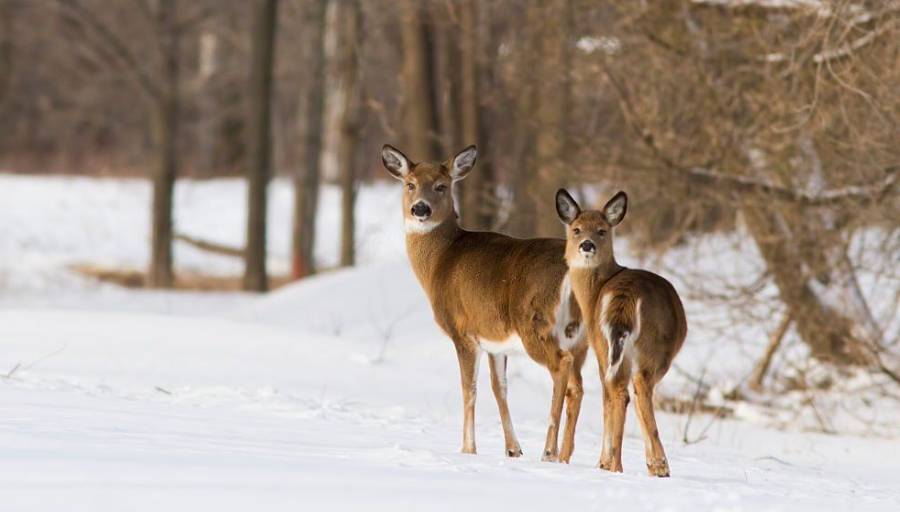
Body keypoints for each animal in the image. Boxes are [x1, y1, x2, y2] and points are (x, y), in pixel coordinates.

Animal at [382, 145, 588, 464]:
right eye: (410, 184)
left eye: (441, 186)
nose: (420, 209)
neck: (441, 261)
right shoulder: (494, 340)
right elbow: (499, 387)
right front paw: (513, 449)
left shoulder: (462, 330)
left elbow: (469, 388)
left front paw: (468, 448)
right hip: (580, 336)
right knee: (578, 386)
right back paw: (566, 456)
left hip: (537, 325)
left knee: (561, 368)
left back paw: (549, 452)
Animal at [552, 190, 684, 478]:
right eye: (577, 229)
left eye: (602, 230)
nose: (587, 245)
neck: (593, 295)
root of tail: (626, 297)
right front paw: (606, 461)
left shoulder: (599, 347)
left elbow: (606, 399)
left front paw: (603, 462)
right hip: (647, 350)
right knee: (634, 390)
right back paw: (649, 465)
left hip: (620, 347)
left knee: (624, 391)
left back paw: (639, 465)